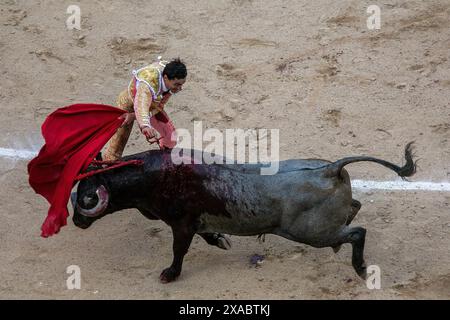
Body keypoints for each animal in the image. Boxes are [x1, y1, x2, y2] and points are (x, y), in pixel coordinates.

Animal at [71, 143, 414, 282]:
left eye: (86, 197)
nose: (75, 221)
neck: (152, 176)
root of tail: (330, 169)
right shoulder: (194, 223)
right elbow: (207, 235)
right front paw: (221, 241)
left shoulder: (181, 224)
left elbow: (179, 250)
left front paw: (170, 274)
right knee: (354, 210)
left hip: (310, 233)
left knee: (357, 233)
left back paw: (360, 268)